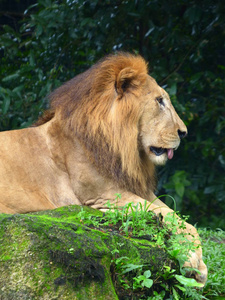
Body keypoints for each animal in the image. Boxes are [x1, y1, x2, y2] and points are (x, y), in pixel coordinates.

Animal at [0, 52, 207, 284]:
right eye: (159, 101)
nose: (184, 132)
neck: (123, 147)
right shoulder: (102, 195)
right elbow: (166, 215)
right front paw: (190, 258)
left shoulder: (135, 187)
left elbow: (180, 218)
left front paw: (198, 265)